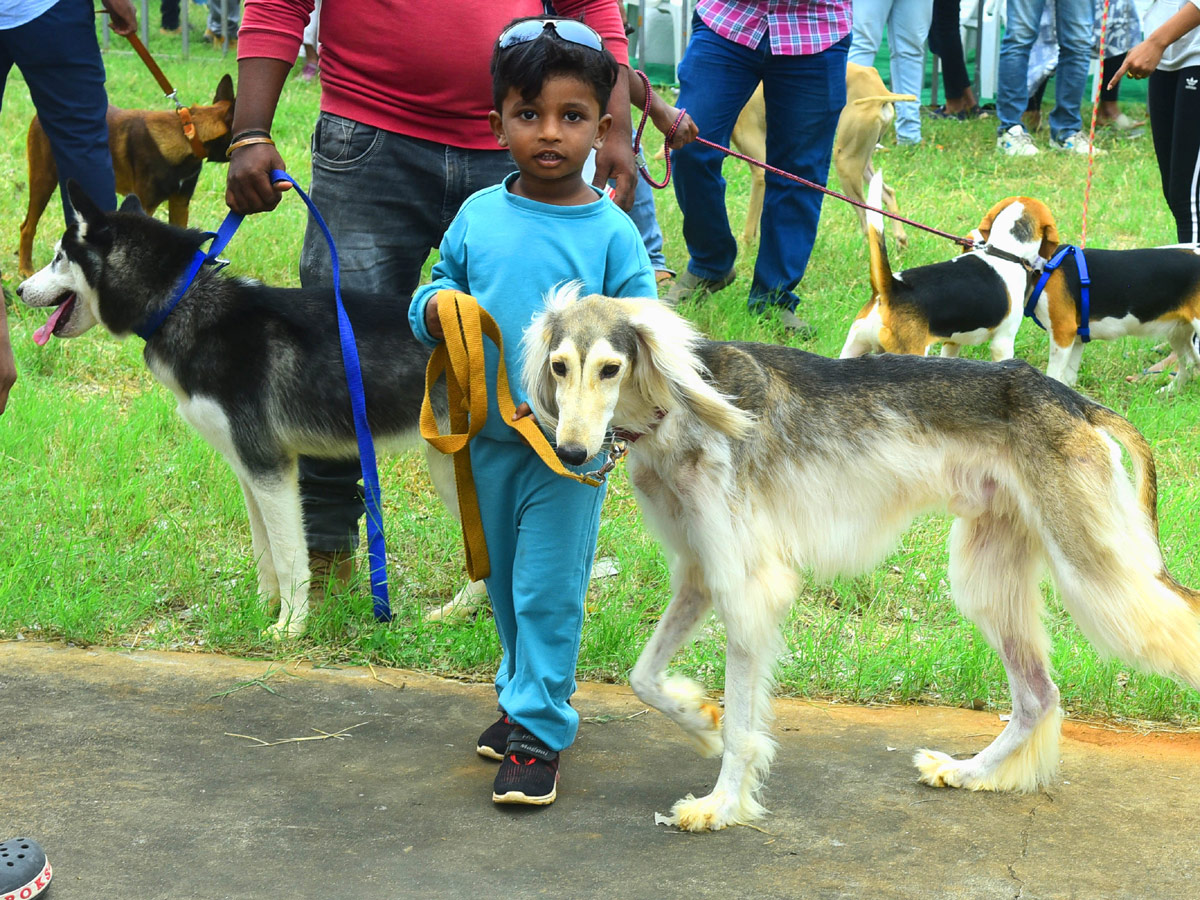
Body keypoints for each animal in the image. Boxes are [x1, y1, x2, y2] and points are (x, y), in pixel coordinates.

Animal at [17, 181, 436, 633]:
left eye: (59, 257)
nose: (19, 290)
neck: (180, 303)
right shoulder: (246, 468)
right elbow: (264, 551)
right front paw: (262, 609)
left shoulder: (269, 466)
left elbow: (289, 556)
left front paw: (288, 628)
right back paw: (449, 615)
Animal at [19, 75, 236, 277]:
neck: (187, 134)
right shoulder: (146, 206)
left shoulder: (180, 204)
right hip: (43, 181)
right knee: (27, 227)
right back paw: (25, 269)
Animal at [520, 285, 1200, 835]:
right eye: (560, 366)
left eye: (611, 368)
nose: (572, 452)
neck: (676, 408)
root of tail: (1071, 399)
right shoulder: (699, 573)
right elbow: (644, 678)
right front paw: (699, 719)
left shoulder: (747, 584)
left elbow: (742, 725)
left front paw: (722, 804)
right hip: (990, 570)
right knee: (1038, 695)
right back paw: (970, 771)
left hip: (1095, 574)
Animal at [1022, 243, 1200, 391]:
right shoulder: (1077, 339)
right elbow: (1067, 380)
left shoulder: (1062, 332)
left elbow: (1053, 375)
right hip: (1178, 334)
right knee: (1189, 364)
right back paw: (1169, 391)